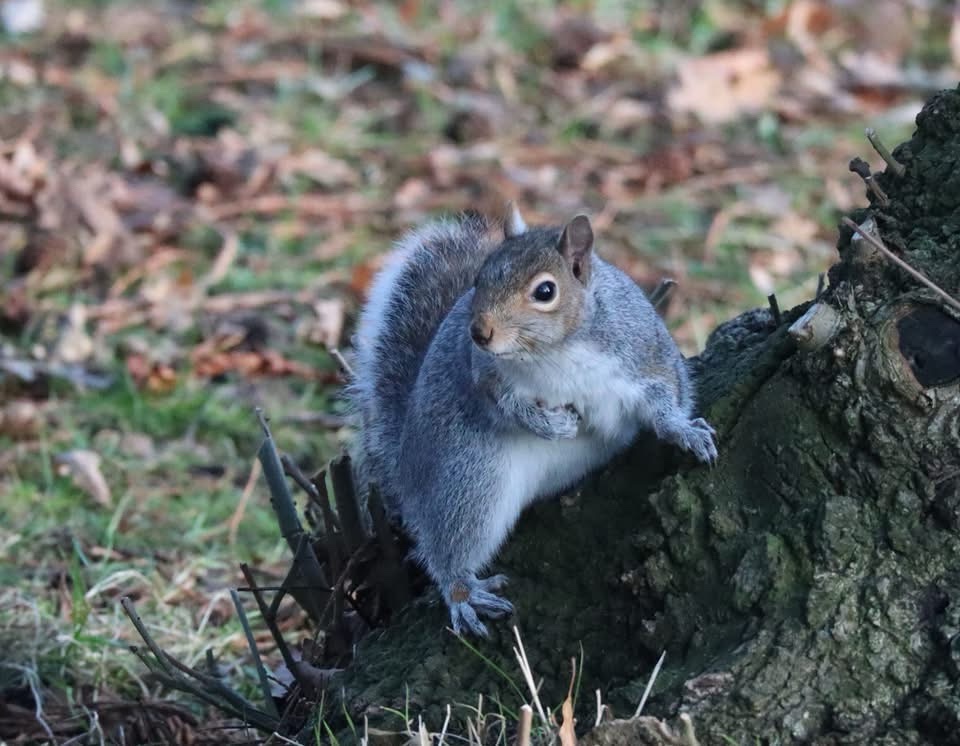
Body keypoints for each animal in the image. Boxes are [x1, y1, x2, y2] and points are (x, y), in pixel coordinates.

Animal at [348, 203, 716, 632]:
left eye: (545, 291)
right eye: (478, 279)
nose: (479, 333)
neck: (554, 350)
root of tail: (405, 468)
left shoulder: (645, 354)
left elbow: (663, 396)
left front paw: (684, 431)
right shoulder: (487, 377)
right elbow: (506, 407)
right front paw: (552, 425)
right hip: (467, 477)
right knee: (447, 546)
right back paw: (463, 593)